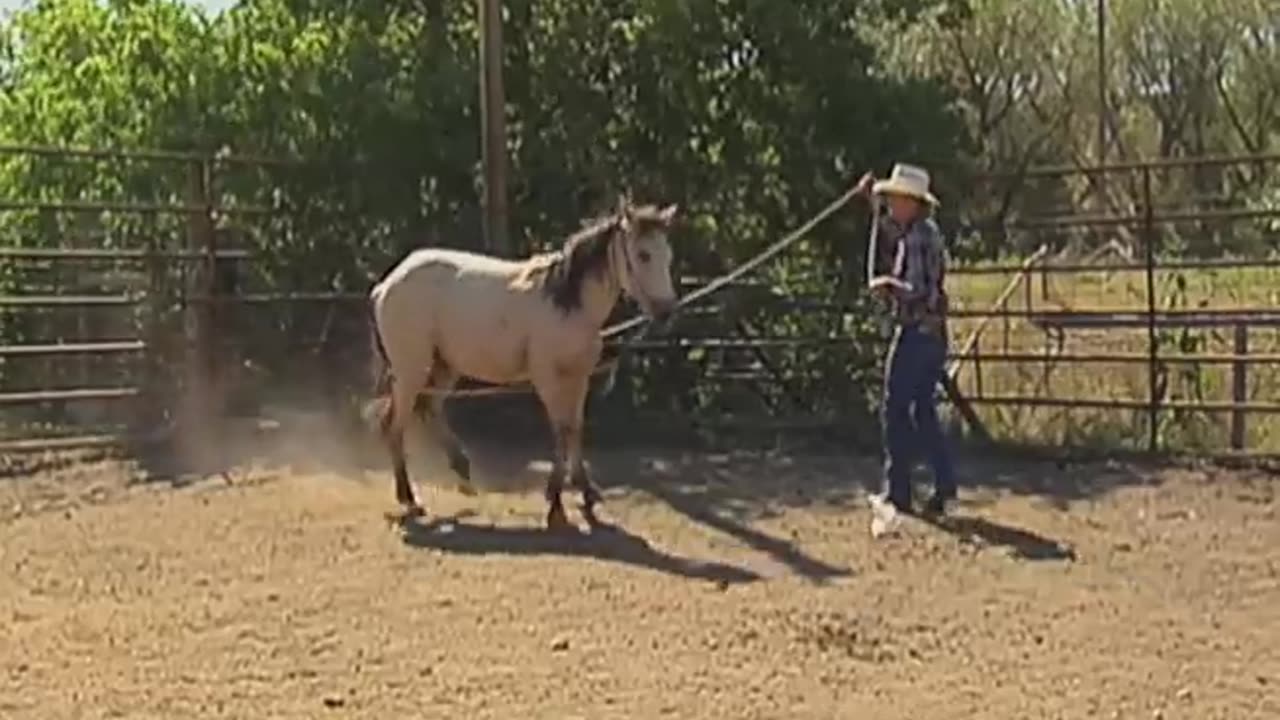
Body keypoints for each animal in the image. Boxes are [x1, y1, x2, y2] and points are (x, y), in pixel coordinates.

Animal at [366, 194, 680, 527]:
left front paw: (585, 492)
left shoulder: (578, 377)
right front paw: (556, 500)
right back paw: (410, 499)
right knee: (394, 425)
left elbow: (575, 428)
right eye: (643, 255)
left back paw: (460, 466)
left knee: (431, 410)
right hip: (410, 371)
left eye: (668, 255)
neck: (567, 302)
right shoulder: (547, 377)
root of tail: (386, 285)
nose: (666, 311)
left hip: (444, 365)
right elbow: (561, 428)